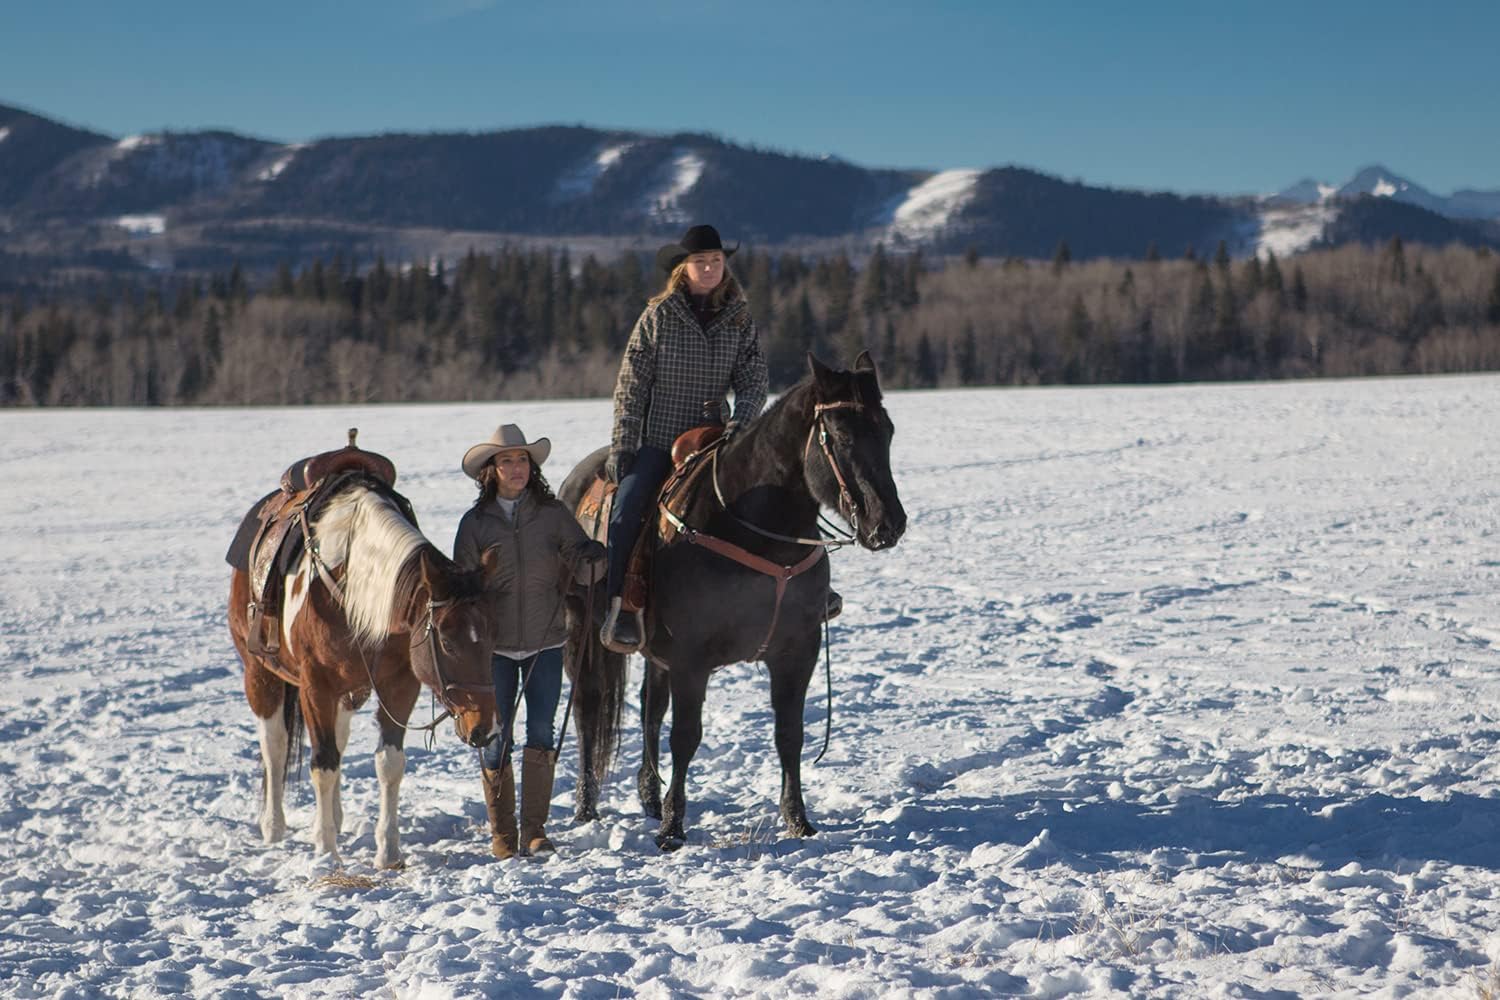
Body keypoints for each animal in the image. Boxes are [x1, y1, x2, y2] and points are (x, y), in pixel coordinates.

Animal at [227, 477, 501, 868]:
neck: (352, 590)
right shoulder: (316, 687)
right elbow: (323, 764)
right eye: (447, 640)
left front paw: (388, 852)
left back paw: (335, 816)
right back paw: (274, 826)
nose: (485, 728)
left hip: (350, 691)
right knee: (275, 745)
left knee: (338, 739)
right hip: (261, 674)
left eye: (494, 636)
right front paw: (326, 852)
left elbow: (389, 762)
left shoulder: (399, 684)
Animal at [559, 351, 906, 850]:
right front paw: (672, 828)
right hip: (583, 628)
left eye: (887, 430)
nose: (888, 523)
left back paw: (649, 798)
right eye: (840, 435)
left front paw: (798, 820)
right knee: (589, 706)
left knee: (650, 708)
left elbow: (789, 734)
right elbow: (686, 736)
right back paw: (587, 808)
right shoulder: (691, 658)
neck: (754, 525)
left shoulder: (796, 652)